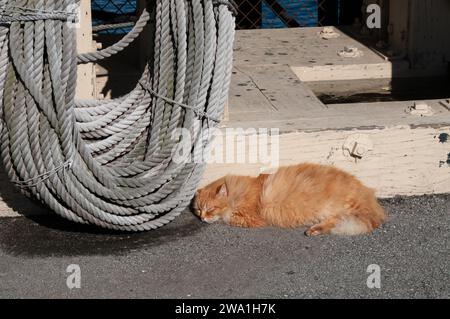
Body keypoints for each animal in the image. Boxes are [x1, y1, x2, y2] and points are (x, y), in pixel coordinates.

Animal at [193, 164, 386, 236]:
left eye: (210, 209)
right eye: (198, 210)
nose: (201, 218)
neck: (238, 192)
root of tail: (367, 195)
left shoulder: (253, 217)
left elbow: (229, 217)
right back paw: (314, 230)